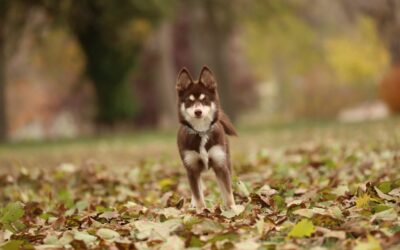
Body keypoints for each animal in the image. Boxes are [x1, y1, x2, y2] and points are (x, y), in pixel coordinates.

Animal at [176, 65, 238, 212]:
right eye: (189, 101)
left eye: (204, 99)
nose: (198, 112)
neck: (201, 132)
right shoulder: (191, 168)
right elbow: (198, 195)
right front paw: (201, 212)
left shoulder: (221, 165)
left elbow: (228, 193)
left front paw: (232, 210)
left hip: (226, 160)